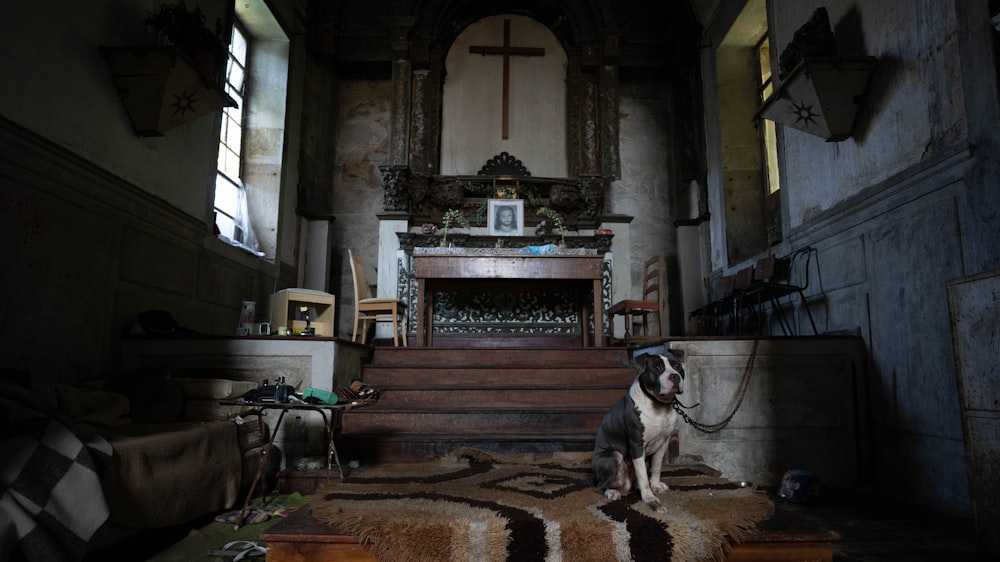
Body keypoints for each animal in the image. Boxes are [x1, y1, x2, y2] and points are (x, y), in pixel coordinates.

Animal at [588, 350, 684, 512]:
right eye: (657, 367)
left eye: (677, 365)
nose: (675, 376)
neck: (659, 406)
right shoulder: (637, 444)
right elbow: (643, 476)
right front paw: (650, 499)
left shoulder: (663, 443)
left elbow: (656, 467)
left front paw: (656, 485)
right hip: (614, 456)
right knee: (600, 486)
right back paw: (611, 492)